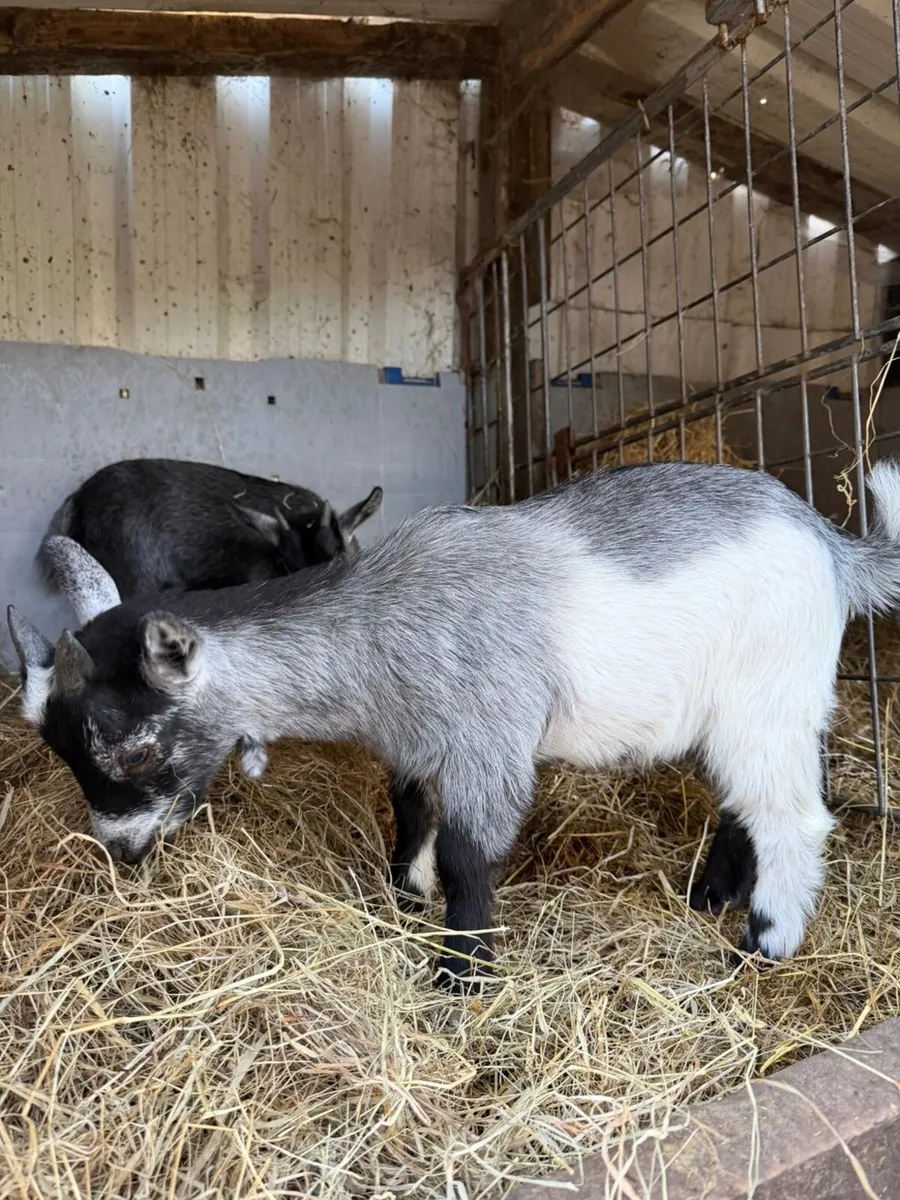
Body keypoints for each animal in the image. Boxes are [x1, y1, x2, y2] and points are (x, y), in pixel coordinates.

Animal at [10, 460, 900, 991]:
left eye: (131, 749)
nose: (121, 851)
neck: (385, 621)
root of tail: (832, 544)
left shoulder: (489, 738)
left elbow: (473, 852)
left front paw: (461, 971)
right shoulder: (415, 740)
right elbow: (410, 811)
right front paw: (405, 892)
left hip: (767, 689)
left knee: (793, 812)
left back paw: (763, 940)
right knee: (753, 798)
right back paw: (711, 894)